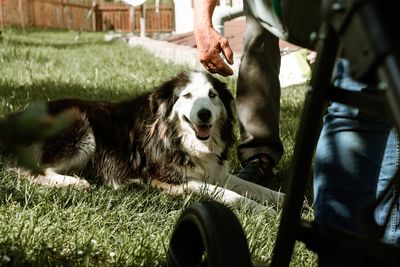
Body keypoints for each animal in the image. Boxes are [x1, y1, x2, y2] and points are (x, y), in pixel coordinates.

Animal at [2, 71, 284, 211]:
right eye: (187, 95)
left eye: (212, 95)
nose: (204, 114)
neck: (177, 136)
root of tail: (11, 120)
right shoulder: (165, 179)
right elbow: (228, 194)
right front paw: (262, 210)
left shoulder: (216, 172)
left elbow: (252, 187)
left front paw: (281, 200)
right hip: (78, 125)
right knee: (28, 169)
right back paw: (72, 182)